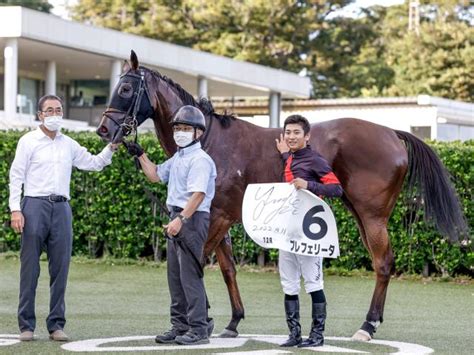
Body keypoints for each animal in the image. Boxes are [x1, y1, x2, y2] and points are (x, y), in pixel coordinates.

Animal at [95, 50, 466, 342]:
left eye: (125, 88)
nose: (103, 129)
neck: (208, 141)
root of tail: (391, 132)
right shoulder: (222, 218)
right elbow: (227, 268)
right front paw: (231, 321)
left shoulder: (219, 215)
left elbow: (198, 260)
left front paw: (201, 321)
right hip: (361, 214)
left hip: (373, 216)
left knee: (384, 262)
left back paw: (367, 326)